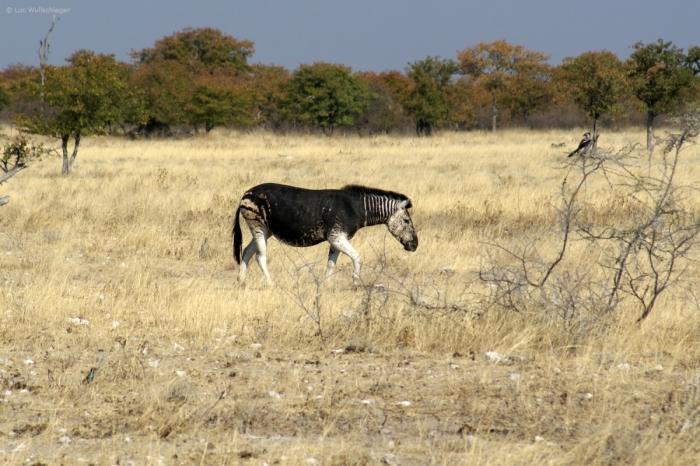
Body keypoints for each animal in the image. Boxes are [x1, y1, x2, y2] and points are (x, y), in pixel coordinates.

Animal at [232, 182, 418, 284]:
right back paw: (271, 284)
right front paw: (356, 283)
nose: (415, 246)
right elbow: (357, 257)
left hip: (265, 230)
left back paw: (241, 281)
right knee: (260, 256)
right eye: (407, 221)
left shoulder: (336, 239)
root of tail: (246, 193)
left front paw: (325, 285)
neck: (356, 208)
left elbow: (331, 264)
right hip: (258, 225)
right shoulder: (336, 236)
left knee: (247, 251)